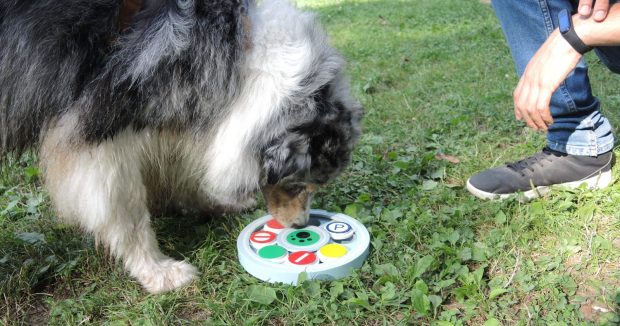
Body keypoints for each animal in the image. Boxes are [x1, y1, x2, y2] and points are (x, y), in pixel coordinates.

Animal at [0, 0, 360, 292]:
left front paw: (215, 204)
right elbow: (127, 207)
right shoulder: (98, 131)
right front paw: (160, 272)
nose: (302, 226)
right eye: (298, 184)